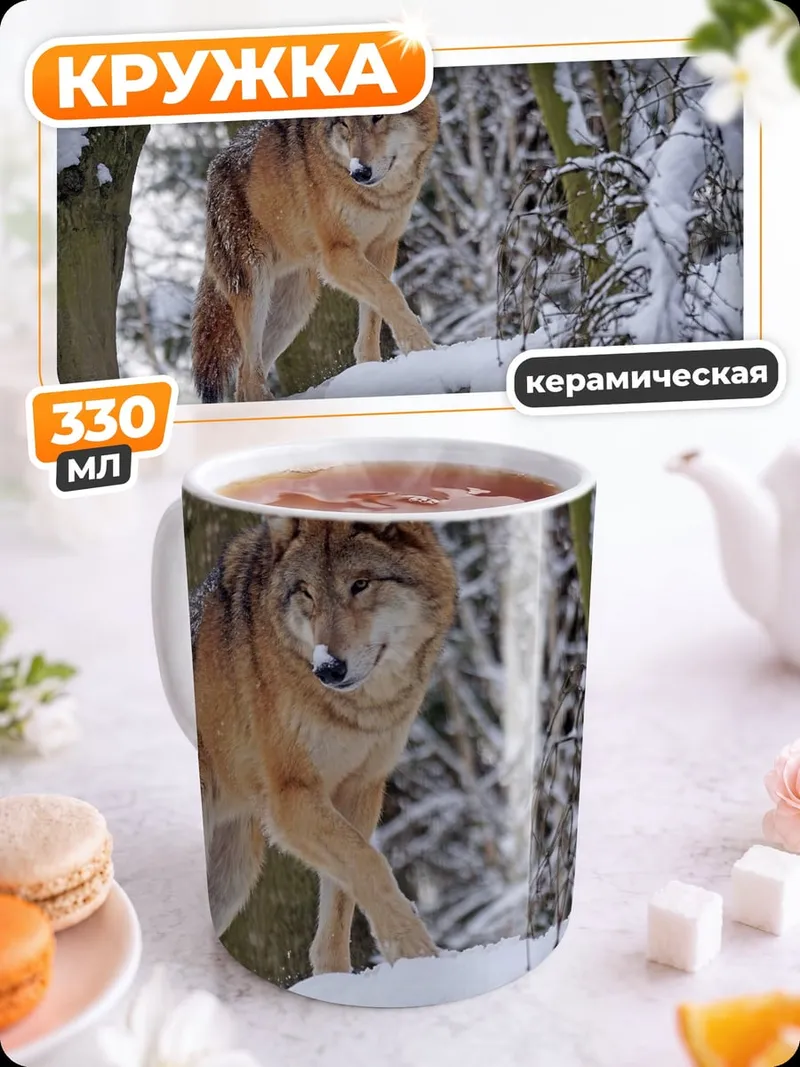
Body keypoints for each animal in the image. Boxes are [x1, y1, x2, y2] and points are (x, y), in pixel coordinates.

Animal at [190, 516, 457, 974]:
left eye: (360, 584)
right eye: (307, 593)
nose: (328, 668)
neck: (359, 713)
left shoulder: (360, 789)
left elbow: (342, 897)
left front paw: (336, 979)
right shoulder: (291, 798)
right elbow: (369, 863)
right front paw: (418, 956)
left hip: (233, 874)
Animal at [191, 96, 440, 404]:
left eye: (378, 116)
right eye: (343, 123)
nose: (359, 172)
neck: (380, 197)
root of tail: (213, 170)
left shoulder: (382, 248)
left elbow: (373, 315)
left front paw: (371, 372)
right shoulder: (337, 254)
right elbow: (391, 294)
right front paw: (421, 348)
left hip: (294, 308)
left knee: (243, 378)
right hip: (256, 289)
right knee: (249, 374)